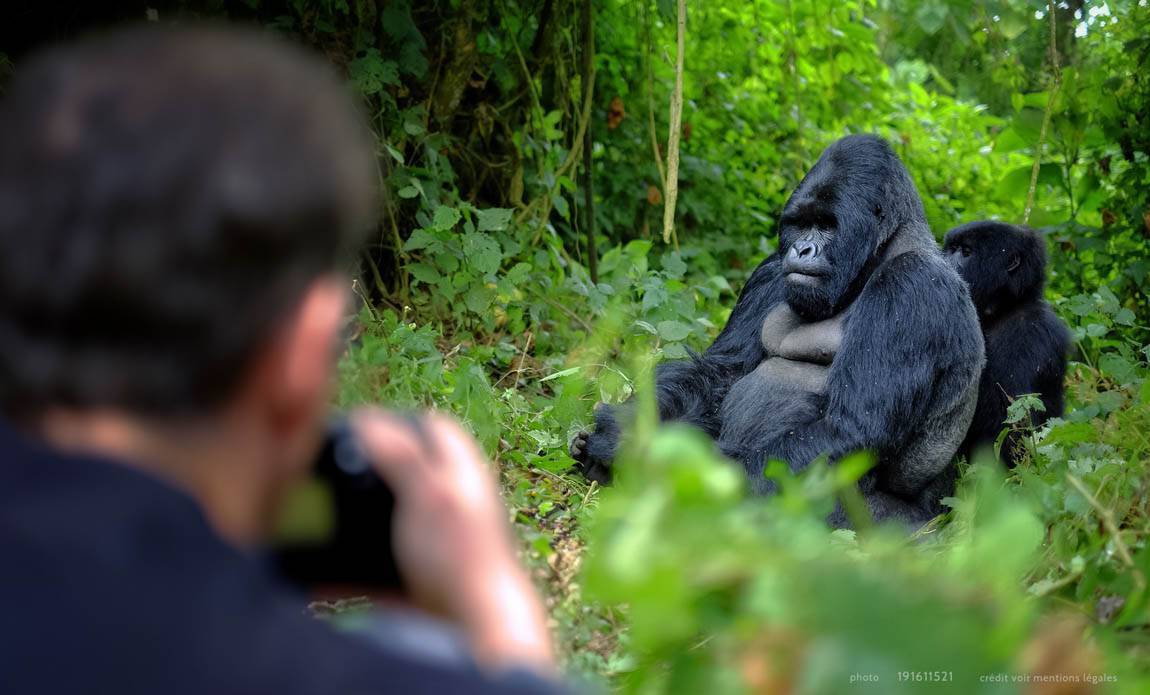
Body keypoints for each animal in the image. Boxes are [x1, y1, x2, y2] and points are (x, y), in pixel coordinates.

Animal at [570, 135, 984, 524]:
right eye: (800, 224)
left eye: (827, 225)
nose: (801, 250)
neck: (881, 252)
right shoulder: (769, 270)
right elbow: (719, 371)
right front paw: (627, 426)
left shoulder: (913, 286)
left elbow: (850, 429)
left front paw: (648, 459)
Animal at [943, 219, 1067, 464]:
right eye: (950, 249)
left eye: (966, 252)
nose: (943, 262)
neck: (1005, 308)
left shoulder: (1028, 333)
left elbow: (1012, 425)